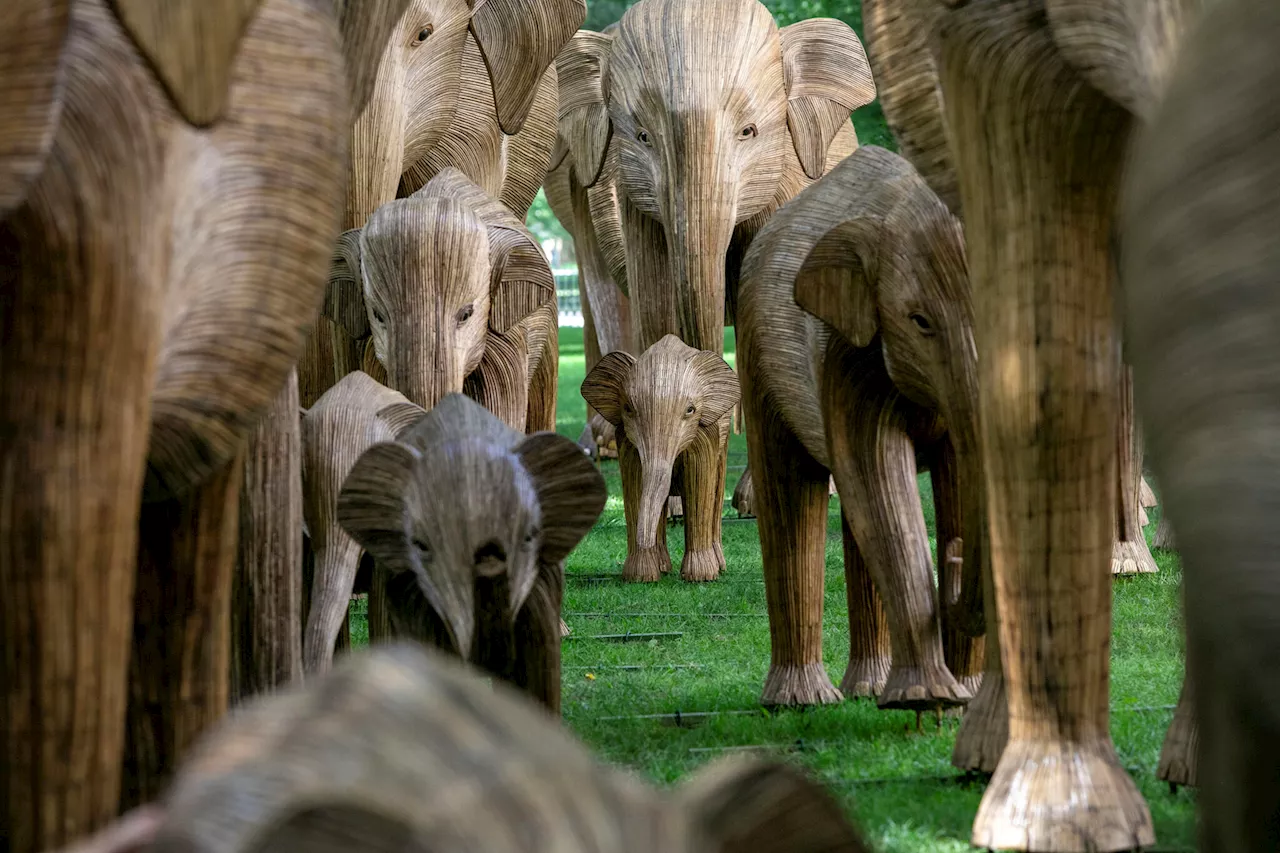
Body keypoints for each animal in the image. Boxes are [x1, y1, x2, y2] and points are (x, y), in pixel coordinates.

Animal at [580, 335, 740, 582]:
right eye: (627, 408)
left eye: (690, 410)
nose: (644, 540)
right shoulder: (626, 439)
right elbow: (635, 483)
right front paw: (640, 577)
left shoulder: (705, 435)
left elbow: (700, 484)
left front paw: (700, 578)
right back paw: (664, 567)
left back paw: (719, 567)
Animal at [736, 145, 981, 711]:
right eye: (919, 321)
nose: (955, 557)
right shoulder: (849, 355)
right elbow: (877, 477)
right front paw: (927, 699)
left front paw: (968, 696)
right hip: (758, 348)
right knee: (792, 490)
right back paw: (801, 701)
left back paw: (865, 688)